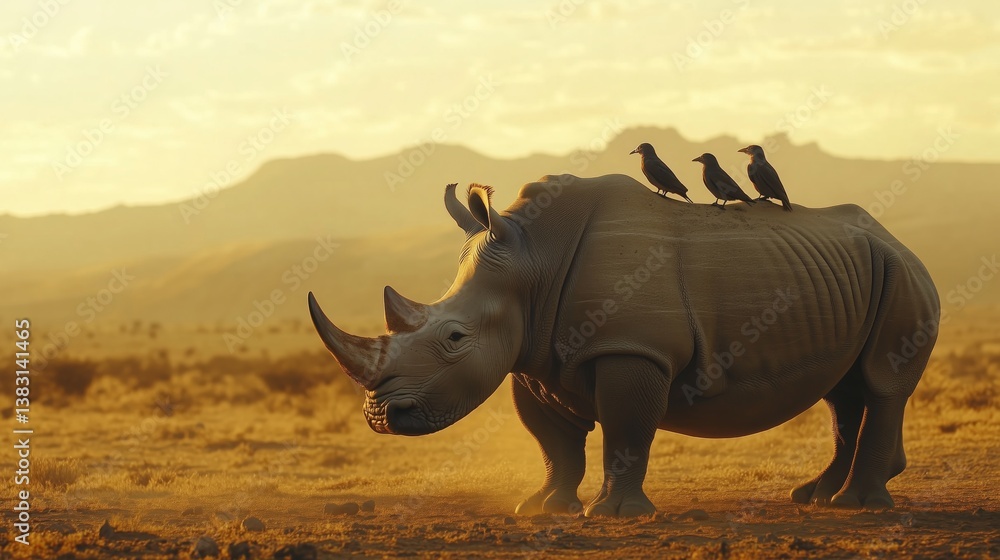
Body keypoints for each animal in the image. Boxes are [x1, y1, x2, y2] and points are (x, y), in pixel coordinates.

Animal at [308, 174, 940, 517]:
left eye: (455, 337)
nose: (381, 417)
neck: (533, 261)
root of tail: (896, 237)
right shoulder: (533, 354)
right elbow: (553, 440)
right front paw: (542, 507)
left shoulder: (631, 348)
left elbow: (627, 428)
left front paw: (613, 514)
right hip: (861, 274)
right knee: (843, 393)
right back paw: (813, 497)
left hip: (902, 273)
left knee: (879, 384)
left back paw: (855, 505)